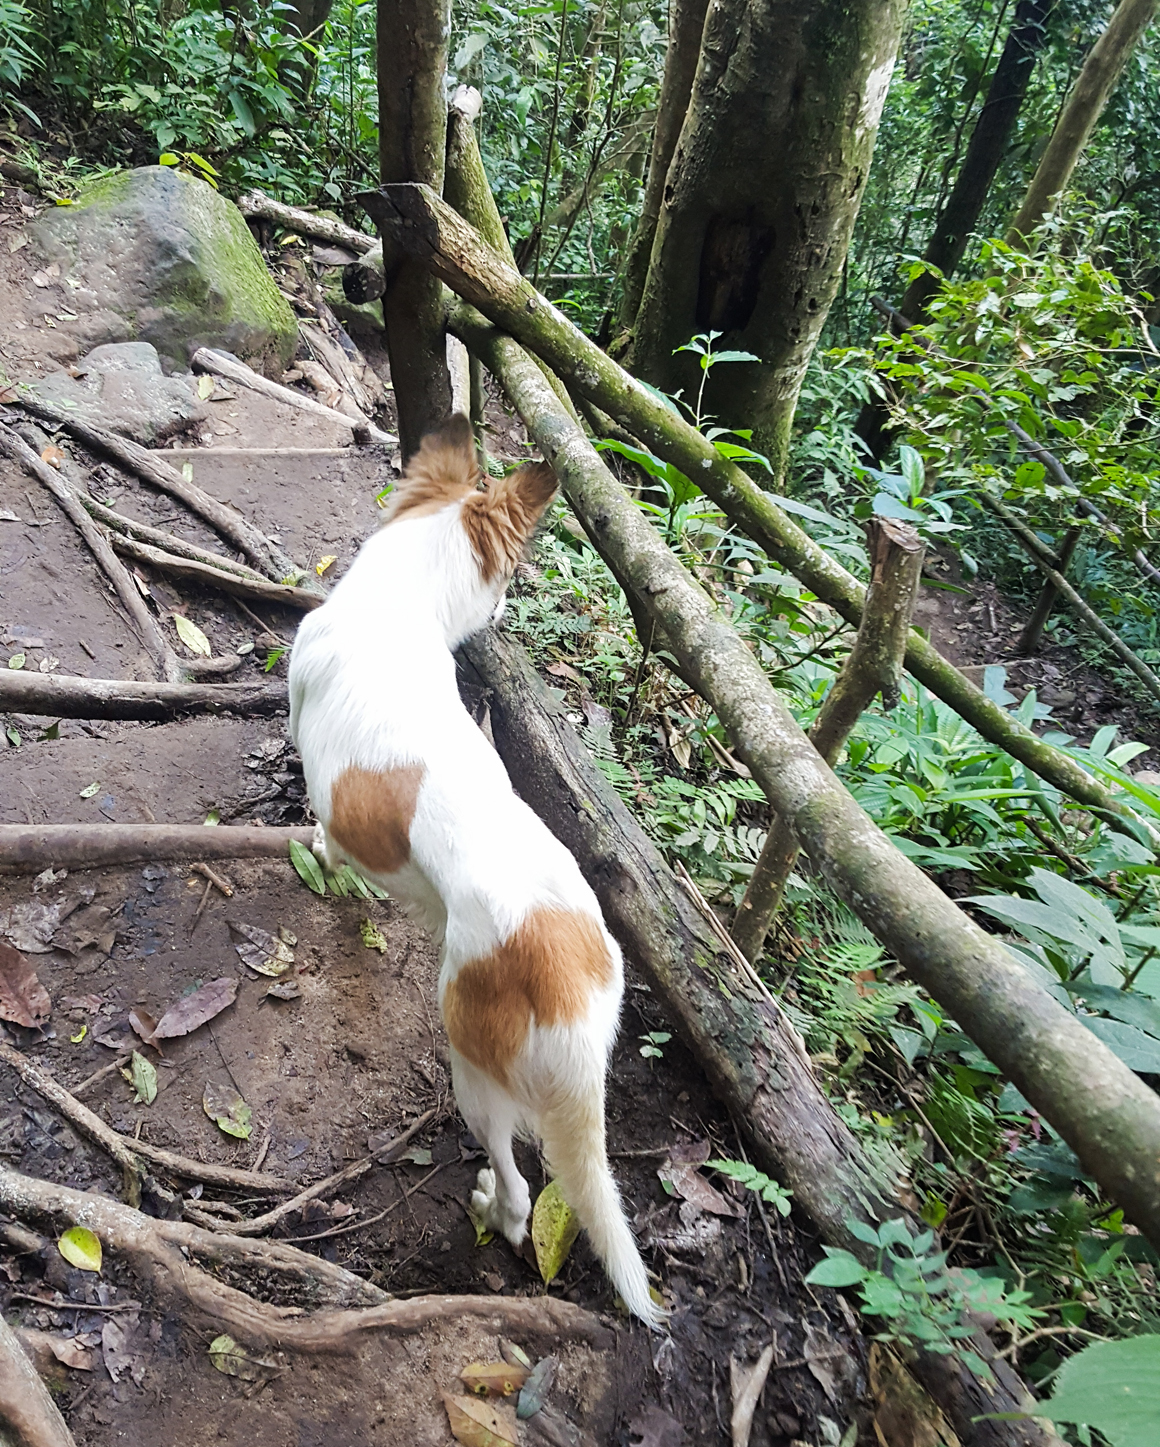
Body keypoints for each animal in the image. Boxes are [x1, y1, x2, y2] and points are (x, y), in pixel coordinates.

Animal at [286, 416, 656, 1325]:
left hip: (471, 1065)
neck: (397, 608)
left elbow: (327, 836)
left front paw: (325, 864)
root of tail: (562, 969)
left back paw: (492, 1204)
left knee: (522, 1195)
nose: (505, 608)